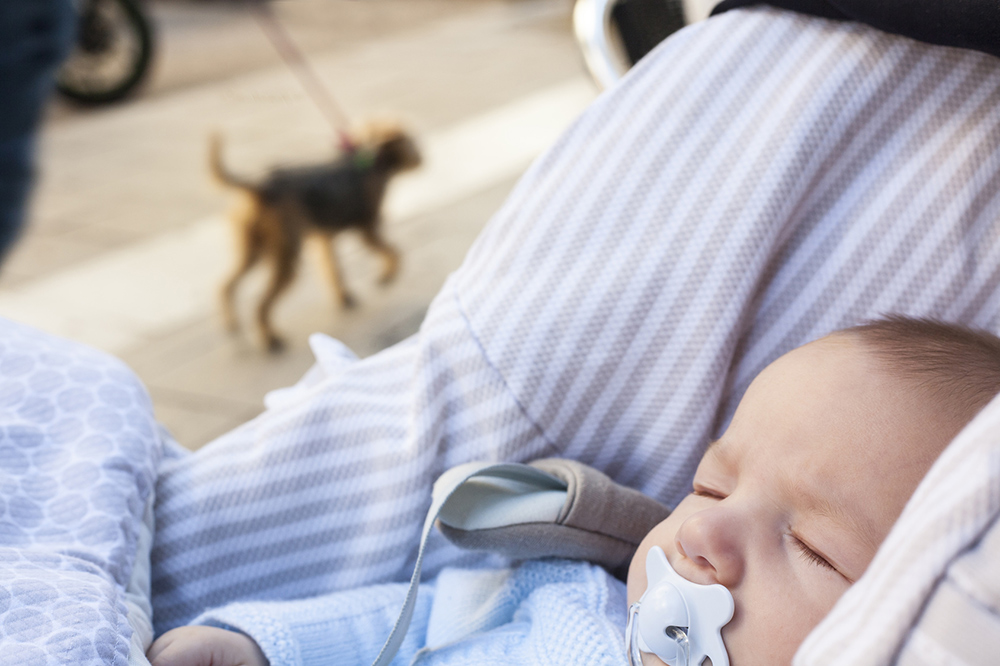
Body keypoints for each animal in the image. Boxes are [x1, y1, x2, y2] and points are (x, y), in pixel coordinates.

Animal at [211, 125, 422, 352]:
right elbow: (393, 251)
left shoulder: (325, 239)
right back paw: (270, 339)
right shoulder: (368, 229)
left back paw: (232, 323)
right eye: (411, 140)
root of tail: (261, 187)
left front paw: (344, 296)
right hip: (285, 254)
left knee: (226, 285)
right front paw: (387, 275)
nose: (421, 158)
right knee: (260, 304)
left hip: (253, 249)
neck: (374, 161)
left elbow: (333, 270)